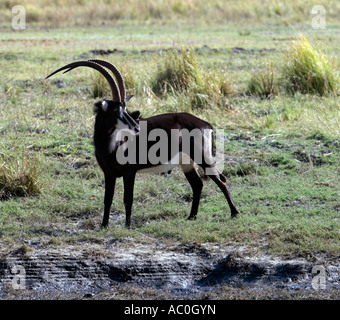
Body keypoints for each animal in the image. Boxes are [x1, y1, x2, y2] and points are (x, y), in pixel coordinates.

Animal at [46, 58, 240, 226]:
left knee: (221, 179)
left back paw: (234, 213)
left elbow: (127, 199)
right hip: (186, 162)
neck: (109, 144)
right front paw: (104, 225)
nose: (136, 127)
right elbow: (107, 199)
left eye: (125, 109)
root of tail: (205, 124)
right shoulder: (108, 174)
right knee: (197, 184)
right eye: (116, 110)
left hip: (201, 157)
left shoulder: (129, 172)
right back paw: (191, 216)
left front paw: (127, 225)